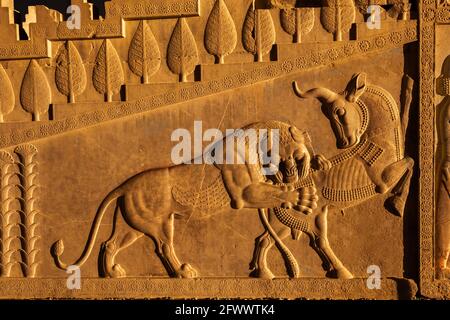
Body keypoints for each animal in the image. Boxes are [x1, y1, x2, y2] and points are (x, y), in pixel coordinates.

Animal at [51, 120, 322, 278]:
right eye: (301, 151)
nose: (310, 159)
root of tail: (123, 186)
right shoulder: (244, 193)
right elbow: (269, 194)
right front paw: (302, 197)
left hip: (131, 226)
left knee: (109, 244)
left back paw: (112, 274)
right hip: (158, 223)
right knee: (163, 246)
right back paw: (183, 272)